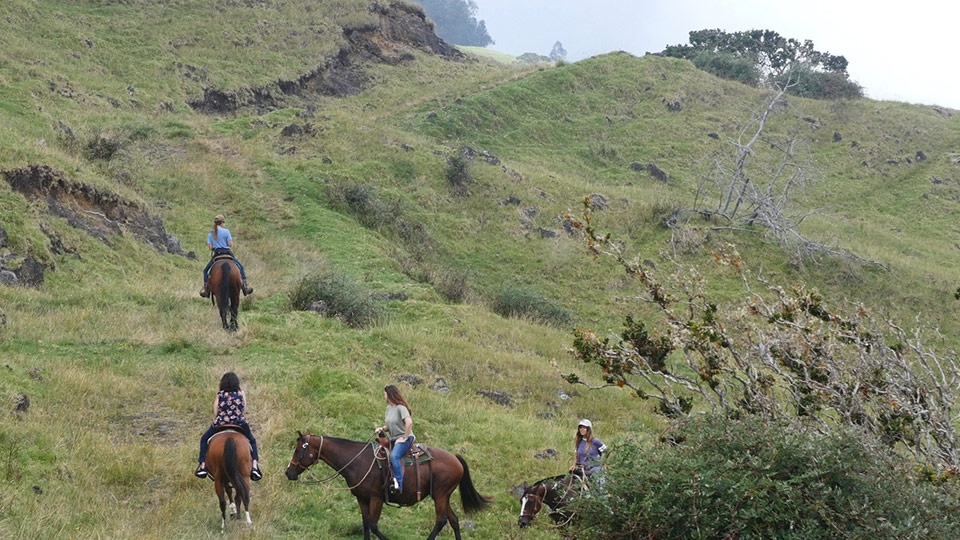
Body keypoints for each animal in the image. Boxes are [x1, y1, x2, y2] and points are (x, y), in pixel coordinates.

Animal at [284, 430, 492, 540]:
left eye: (298, 450)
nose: (289, 472)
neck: (357, 461)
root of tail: (455, 459)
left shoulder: (376, 499)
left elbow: (373, 525)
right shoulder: (362, 499)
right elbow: (365, 524)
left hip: (441, 495)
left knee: (441, 520)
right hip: (442, 496)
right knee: (453, 519)